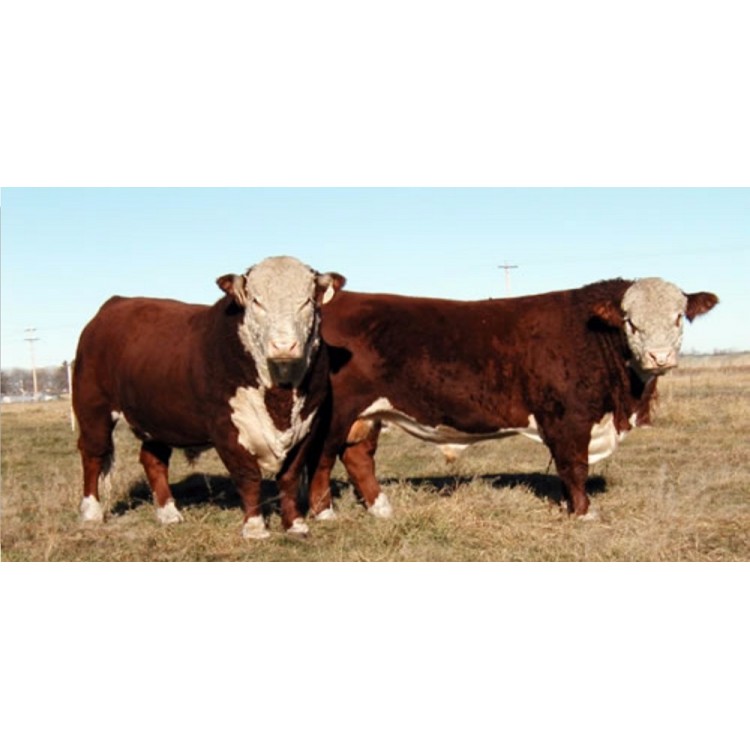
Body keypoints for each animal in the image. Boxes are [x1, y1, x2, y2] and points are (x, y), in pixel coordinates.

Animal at [72, 256, 345, 539]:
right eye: (256, 301)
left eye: (307, 301)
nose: (283, 346)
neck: (279, 396)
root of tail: (114, 304)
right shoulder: (226, 426)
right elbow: (248, 475)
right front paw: (255, 527)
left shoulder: (308, 423)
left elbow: (290, 476)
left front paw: (294, 524)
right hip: (93, 408)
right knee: (93, 454)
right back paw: (91, 512)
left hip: (156, 417)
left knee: (153, 460)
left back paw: (168, 513)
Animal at [307, 277, 718, 520]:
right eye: (630, 321)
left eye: (678, 317)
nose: (659, 357)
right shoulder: (568, 418)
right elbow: (575, 466)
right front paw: (584, 514)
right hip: (336, 411)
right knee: (323, 457)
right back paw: (324, 513)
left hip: (368, 413)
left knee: (358, 456)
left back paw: (382, 510)